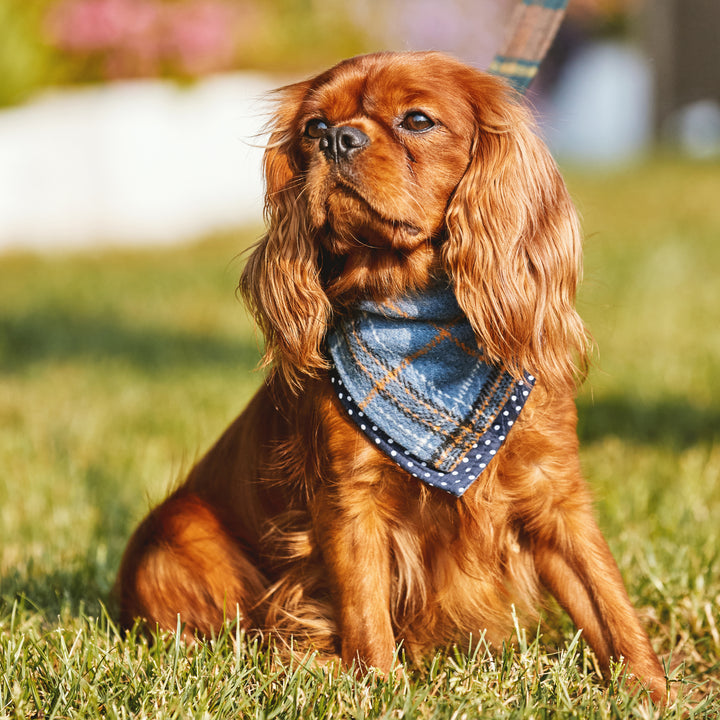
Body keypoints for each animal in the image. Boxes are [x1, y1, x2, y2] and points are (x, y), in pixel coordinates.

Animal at [118, 52, 668, 704]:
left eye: (418, 120)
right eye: (312, 127)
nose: (337, 138)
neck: (413, 309)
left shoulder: (554, 493)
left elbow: (610, 604)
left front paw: (656, 693)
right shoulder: (349, 501)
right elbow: (366, 615)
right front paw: (379, 689)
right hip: (172, 543)